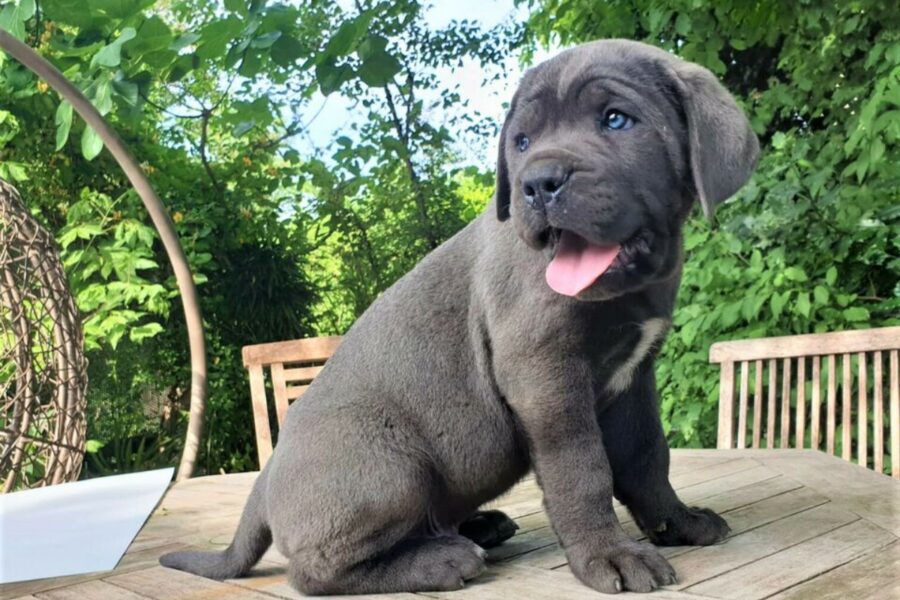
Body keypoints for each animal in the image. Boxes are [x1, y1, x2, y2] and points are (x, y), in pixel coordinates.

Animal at [160, 37, 760, 596]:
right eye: (521, 143)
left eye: (616, 119)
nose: (537, 184)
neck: (627, 290)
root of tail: (263, 485)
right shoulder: (545, 375)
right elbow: (582, 470)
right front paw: (607, 556)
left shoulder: (634, 376)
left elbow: (646, 457)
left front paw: (677, 522)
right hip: (389, 465)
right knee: (313, 572)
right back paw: (442, 560)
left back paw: (478, 528)